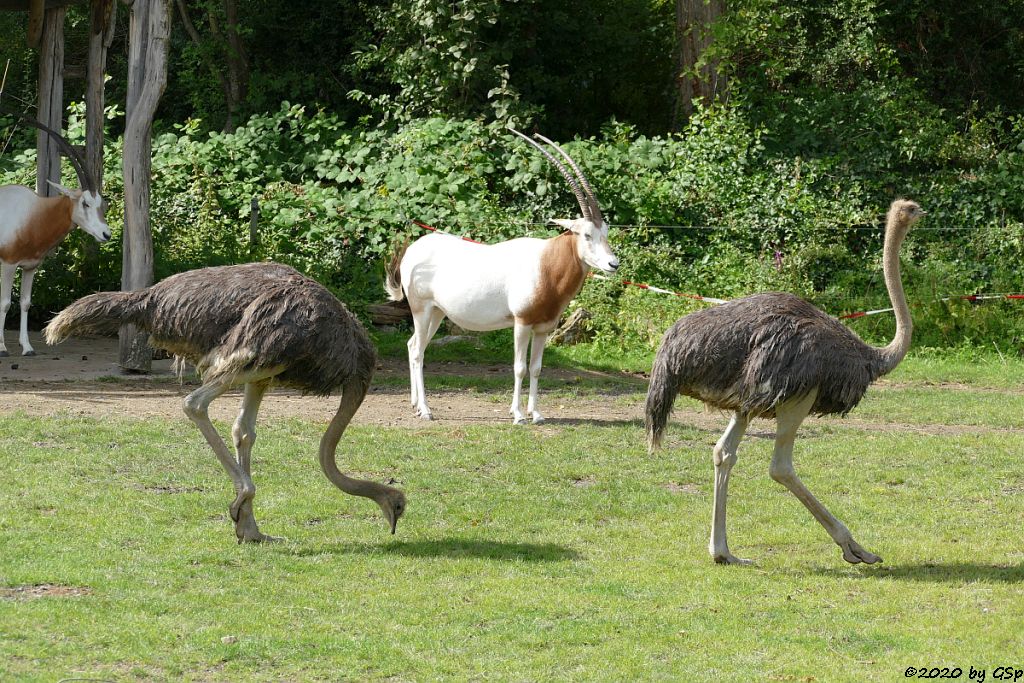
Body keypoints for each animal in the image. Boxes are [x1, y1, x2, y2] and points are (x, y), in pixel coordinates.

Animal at [0, 118, 109, 358]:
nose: (106, 234)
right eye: (85, 203)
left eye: (102, 203)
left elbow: (25, 303)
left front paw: (27, 348)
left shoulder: (30, 266)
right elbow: (4, 303)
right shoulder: (8, 264)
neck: (33, 213)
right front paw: (2, 347)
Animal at [387, 127, 614, 421]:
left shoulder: (543, 329)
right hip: (421, 309)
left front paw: (536, 414)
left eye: (605, 232)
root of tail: (412, 252)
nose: (613, 264)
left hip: (436, 313)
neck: (547, 264)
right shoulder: (522, 323)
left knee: (415, 344)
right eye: (587, 235)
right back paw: (425, 410)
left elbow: (537, 368)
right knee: (417, 352)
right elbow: (519, 367)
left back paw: (415, 404)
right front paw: (518, 414)